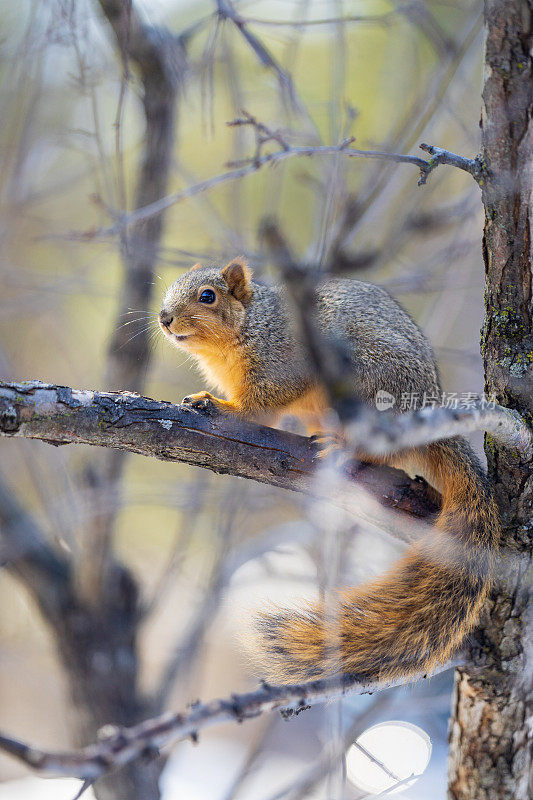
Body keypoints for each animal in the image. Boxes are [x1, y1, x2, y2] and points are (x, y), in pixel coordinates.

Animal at [158, 260, 498, 684]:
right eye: (170, 289)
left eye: (208, 296)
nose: (164, 318)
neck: (249, 326)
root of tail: (427, 408)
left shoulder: (282, 364)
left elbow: (259, 407)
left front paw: (219, 404)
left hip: (369, 386)